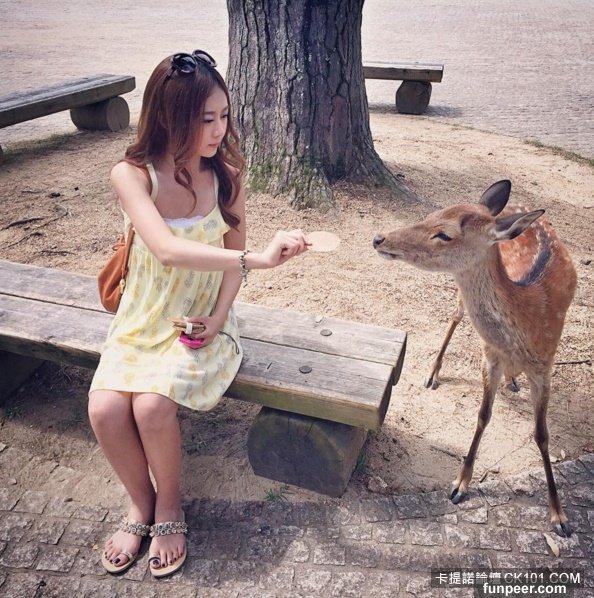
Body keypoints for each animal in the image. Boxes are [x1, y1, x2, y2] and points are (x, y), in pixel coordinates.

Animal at [373, 180, 577, 537]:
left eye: (444, 234)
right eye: (431, 214)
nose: (380, 238)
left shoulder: (545, 366)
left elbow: (542, 435)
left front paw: (559, 517)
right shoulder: (489, 356)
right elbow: (482, 415)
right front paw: (459, 484)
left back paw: (512, 380)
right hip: (460, 300)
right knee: (456, 316)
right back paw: (434, 373)